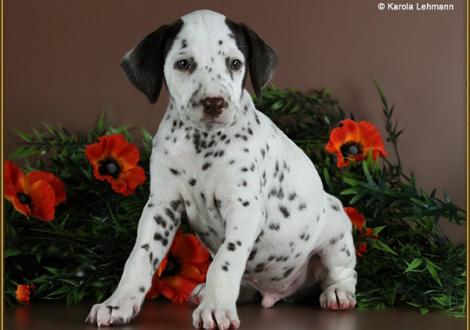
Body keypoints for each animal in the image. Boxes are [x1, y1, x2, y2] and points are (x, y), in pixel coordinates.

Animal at [86, 9, 356, 328]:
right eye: (183, 63)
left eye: (235, 63)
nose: (214, 103)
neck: (202, 142)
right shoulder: (161, 207)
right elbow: (140, 256)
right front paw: (118, 303)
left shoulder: (243, 208)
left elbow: (225, 261)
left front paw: (216, 309)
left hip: (337, 230)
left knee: (343, 273)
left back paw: (338, 294)